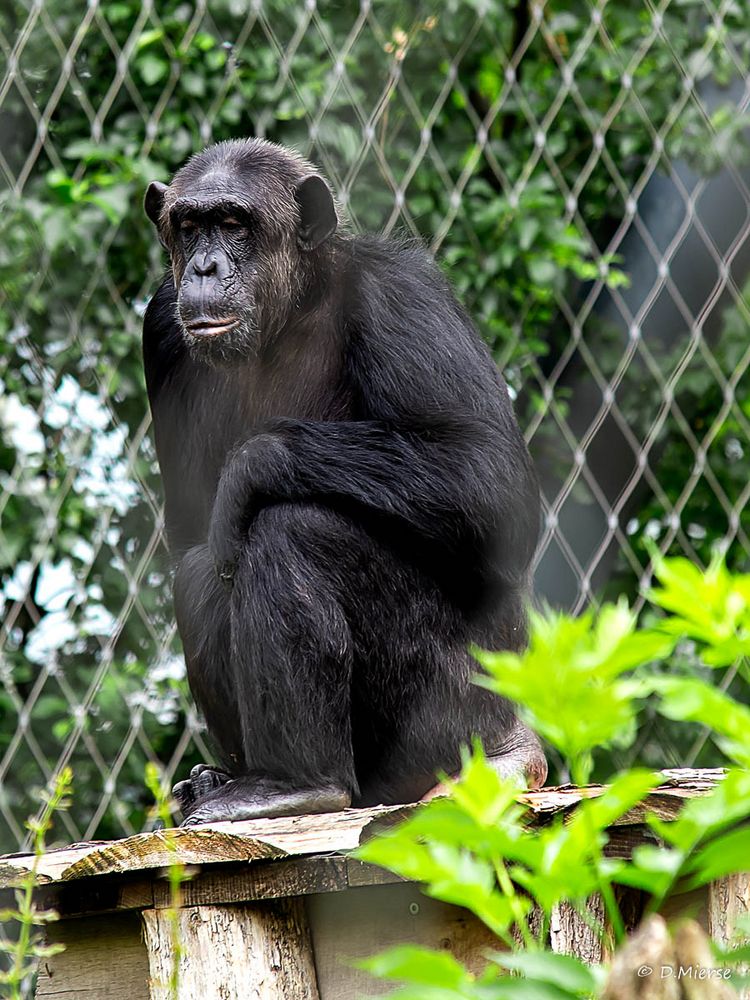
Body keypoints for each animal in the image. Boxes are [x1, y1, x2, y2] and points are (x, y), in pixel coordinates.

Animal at [144, 137, 548, 824]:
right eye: (190, 225)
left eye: (234, 223)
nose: (204, 267)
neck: (289, 310)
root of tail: (510, 736)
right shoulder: (160, 336)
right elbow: (193, 536)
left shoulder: (401, 296)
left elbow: (490, 479)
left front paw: (253, 464)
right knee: (200, 572)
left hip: (452, 712)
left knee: (295, 530)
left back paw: (296, 782)